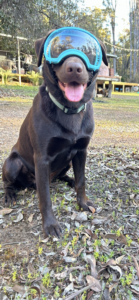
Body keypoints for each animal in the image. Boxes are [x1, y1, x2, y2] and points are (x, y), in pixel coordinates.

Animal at [2, 27, 108, 237]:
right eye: (57, 49)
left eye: (90, 51)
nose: (74, 68)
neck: (69, 109)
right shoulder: (42, 159)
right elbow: (45, 197)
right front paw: (50, 225)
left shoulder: (81, 151)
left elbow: (82, 180)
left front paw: (83, 202)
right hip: (12, 163)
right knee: (10, 183)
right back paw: (10, 195)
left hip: (67, 162)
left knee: (64, 175)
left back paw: (68, 179)